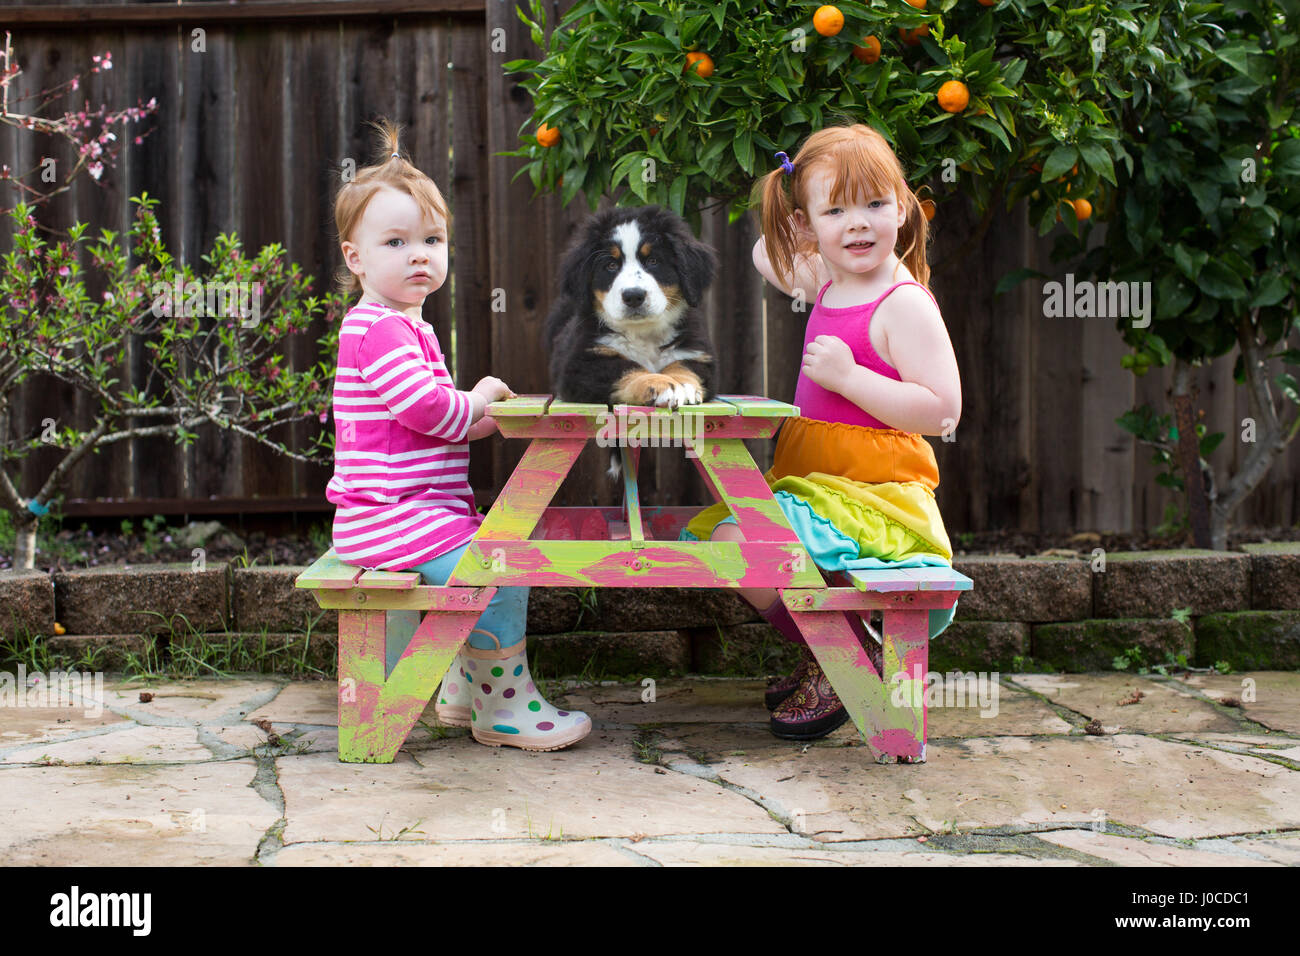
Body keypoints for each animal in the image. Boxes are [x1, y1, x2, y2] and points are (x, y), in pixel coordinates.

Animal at [543, 205, 717, 416]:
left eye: (653, 261)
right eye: (611, 265)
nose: (633, 296)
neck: (644, 332)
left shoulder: (696, 354)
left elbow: (683, 366)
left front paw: (683, 385)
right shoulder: (582, 364)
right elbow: (629, 369)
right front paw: (661, 385)